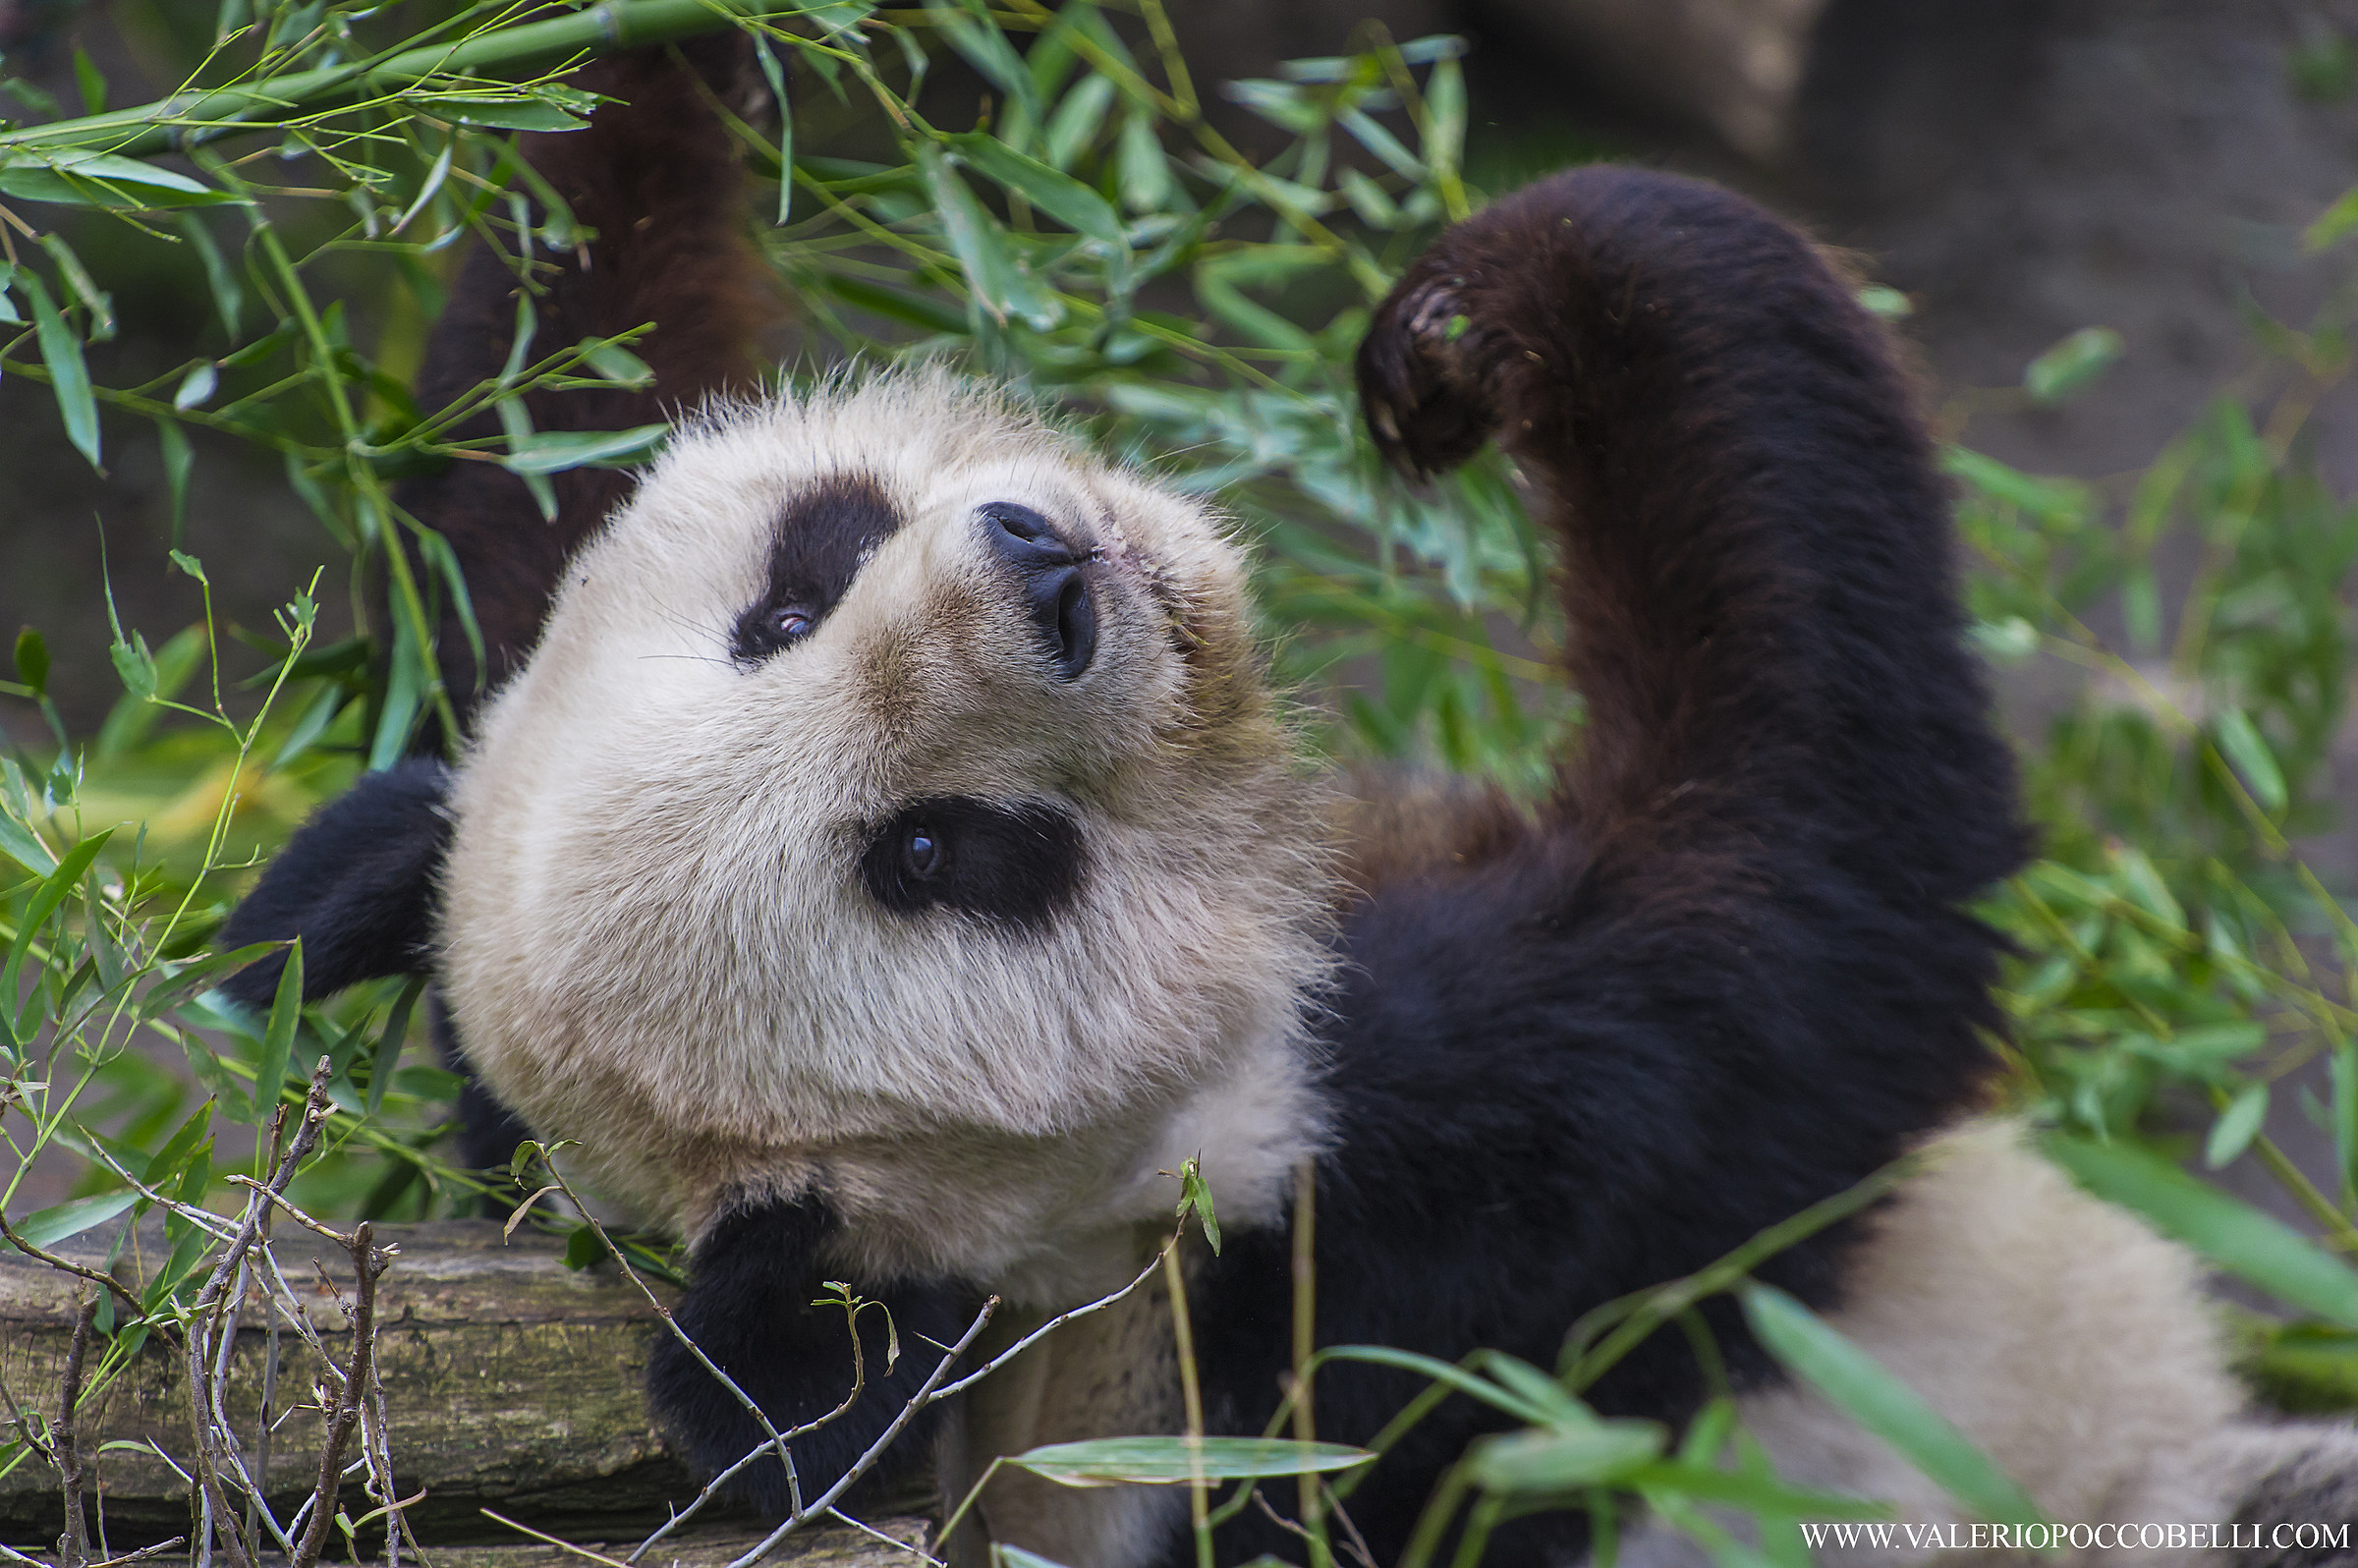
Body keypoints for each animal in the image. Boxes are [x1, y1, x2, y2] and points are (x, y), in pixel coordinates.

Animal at [214, 37, 2358, 1568]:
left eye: (791, 601)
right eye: (940, 855)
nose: (1050, 570)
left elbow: (538, 410)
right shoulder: (1392, 1234)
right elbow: (1809, 918)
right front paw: (1514, 305)